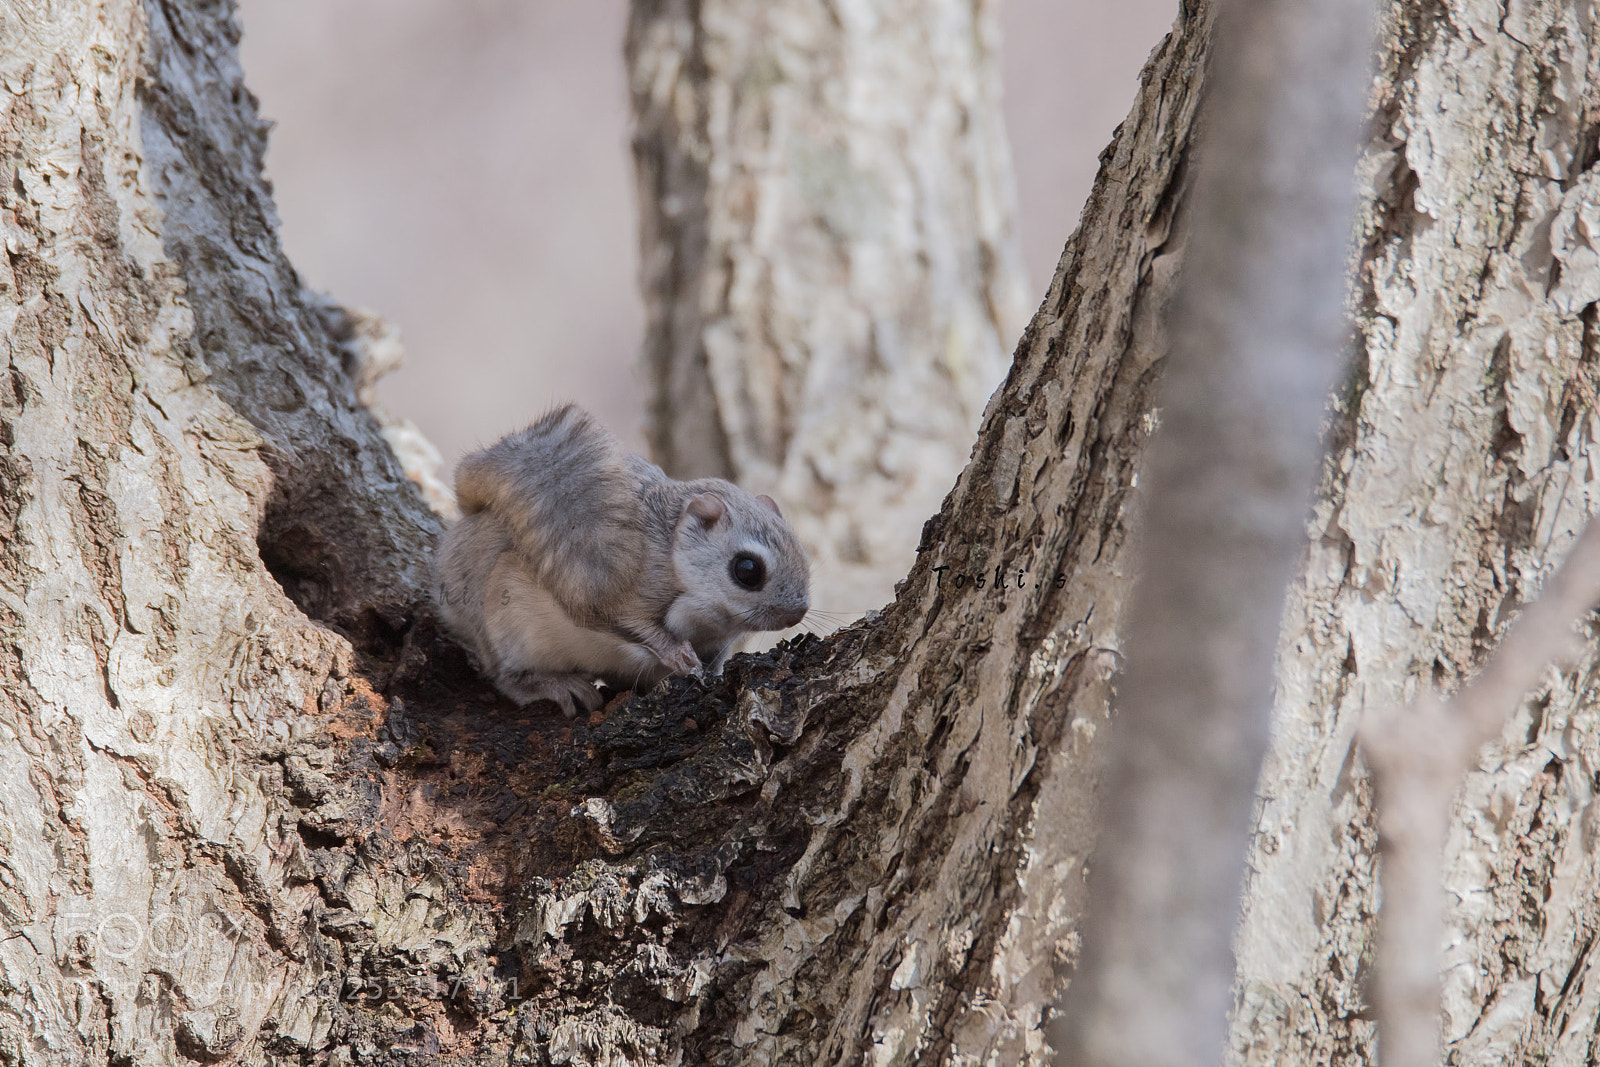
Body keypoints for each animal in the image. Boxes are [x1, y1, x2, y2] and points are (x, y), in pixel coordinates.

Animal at [434, 404, 811, 715]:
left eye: (802, 552)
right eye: (747, 570)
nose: (796, 614)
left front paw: (713, 672)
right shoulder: (620, 595)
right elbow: (633, 626)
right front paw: (677, 654)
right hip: (505, 619)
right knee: (506, 677)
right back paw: (552, 684)